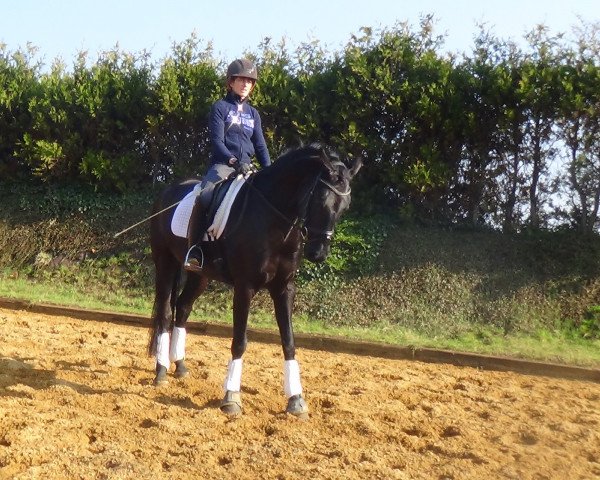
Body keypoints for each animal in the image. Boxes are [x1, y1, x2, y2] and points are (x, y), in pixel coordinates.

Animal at [148, 144, 364, 418]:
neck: (274, 218)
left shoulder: (284, 288)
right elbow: (240, 342)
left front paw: (296, 399)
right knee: (165, 312)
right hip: (165, 262)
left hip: (200, 274)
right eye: (321, 199)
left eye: (345, 206)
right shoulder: (245, 287)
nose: (318, 253)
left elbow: (289, 342)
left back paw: (180, 366)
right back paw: (161, 371)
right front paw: (231, 397)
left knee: (183, 307)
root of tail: (167, 191)